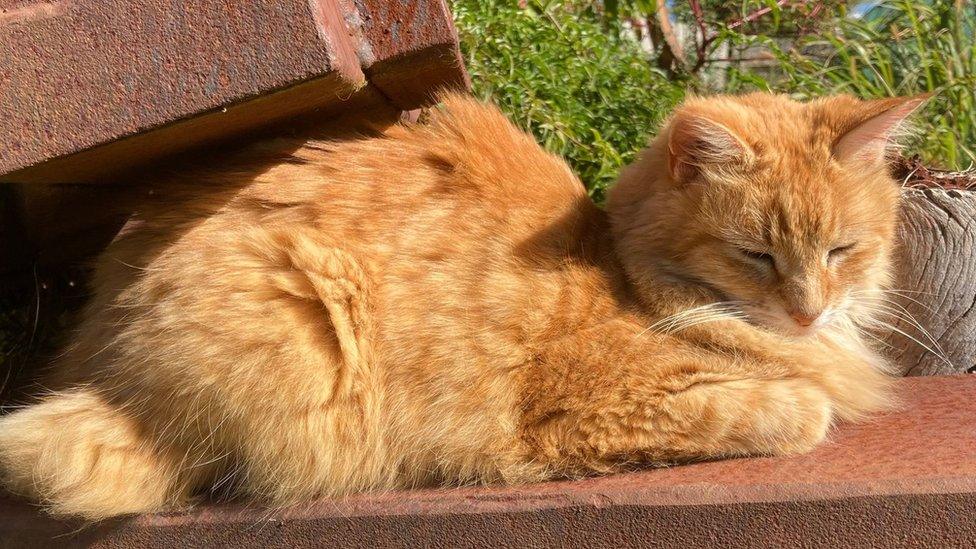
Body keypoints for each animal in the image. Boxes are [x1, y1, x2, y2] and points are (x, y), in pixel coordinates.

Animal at [0, 91, 924, 520]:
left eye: (841, 251)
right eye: (755, 256)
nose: (808, 312)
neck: (627, 275)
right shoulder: (592, 407)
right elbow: (799, 411)